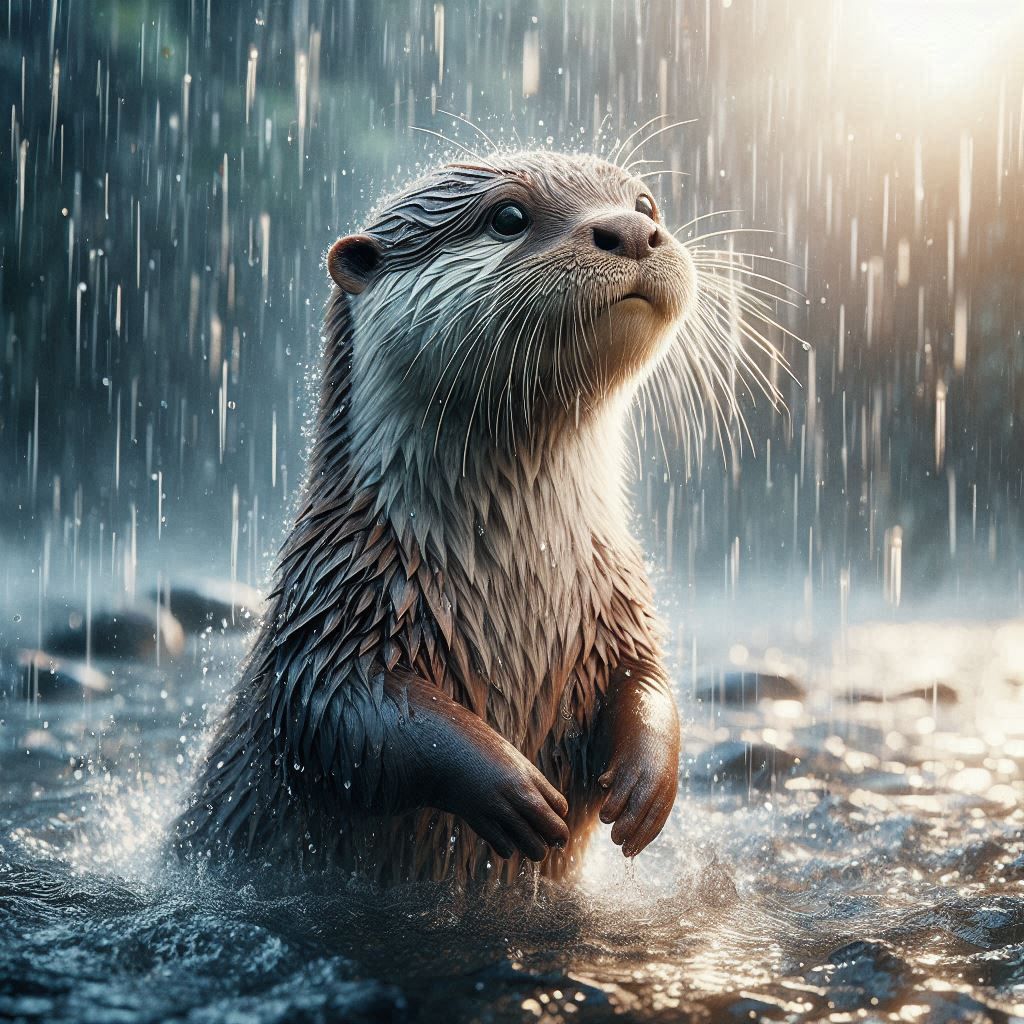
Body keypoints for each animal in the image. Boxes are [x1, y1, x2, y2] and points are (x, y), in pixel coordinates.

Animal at [173, 150, 695, 885]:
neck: (519, 575)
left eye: (646, 204)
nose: (631, 231)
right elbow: (341, 712)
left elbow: (645, 676)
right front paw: (510, 787)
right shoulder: (336, 603)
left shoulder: (618, 600)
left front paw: (646, 783)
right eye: (508, 215)